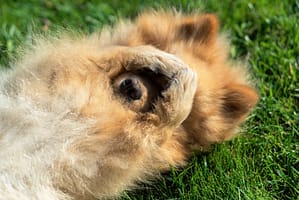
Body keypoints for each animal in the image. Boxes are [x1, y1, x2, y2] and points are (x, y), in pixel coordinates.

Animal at [0, 11, 258, 200]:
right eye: (153, 77)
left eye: (159, 92)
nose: (134, 88)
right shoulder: (36, 78)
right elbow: (100, 55)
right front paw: (154, 55)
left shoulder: (97, 160)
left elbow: (157, 129)